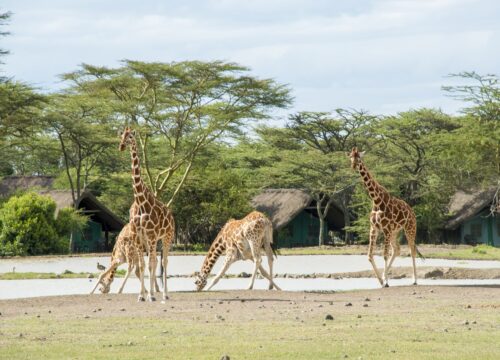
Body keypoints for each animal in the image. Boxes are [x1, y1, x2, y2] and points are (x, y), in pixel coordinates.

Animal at [119, 126, 176, 300]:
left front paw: (150, 295)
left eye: (130, 136)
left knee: (163, 261)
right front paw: (141, 296)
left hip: (167, 236)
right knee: (154, 261)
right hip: (151, 240)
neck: (140, 202)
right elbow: (144, 265)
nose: (121, 146)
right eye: (121, 136)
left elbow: (151, 264)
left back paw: (165, 294)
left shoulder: (151, 235)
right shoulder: (138, 237)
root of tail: (172, 216)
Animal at [348, 146, 422, 286]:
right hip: (395, 231)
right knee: (397, 249)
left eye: (359, 157)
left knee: (412, 251)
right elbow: (370, 255)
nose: (353, 166)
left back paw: (415, 280)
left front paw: (386, 281)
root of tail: (412, 212)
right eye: (350, 157)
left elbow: (384, 254)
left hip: (410, 228)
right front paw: (381, 280)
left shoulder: (386, 229)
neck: (376, 200)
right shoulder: (374, 228)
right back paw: (386, 276)